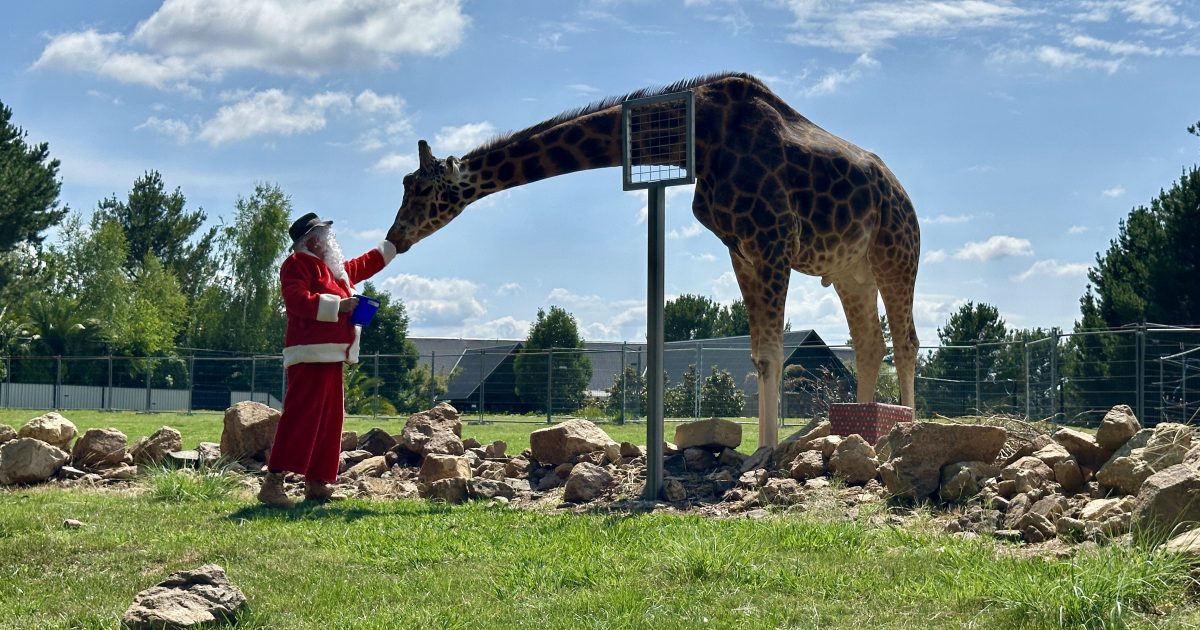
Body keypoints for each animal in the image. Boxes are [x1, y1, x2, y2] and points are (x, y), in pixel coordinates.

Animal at [384, 72, 916, 446]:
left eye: (424, 190)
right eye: (405, 185)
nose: (395, 237)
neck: (699, 136)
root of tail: (902, 193)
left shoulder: (772, 239)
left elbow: (771, 351)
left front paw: (765, 454)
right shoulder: (742, 248)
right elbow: (761, 354)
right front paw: (763, 451)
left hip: (896, 252)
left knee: (905, 341)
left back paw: (906, 428)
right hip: (850, 270)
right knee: (870, 343)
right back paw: (862, 427)